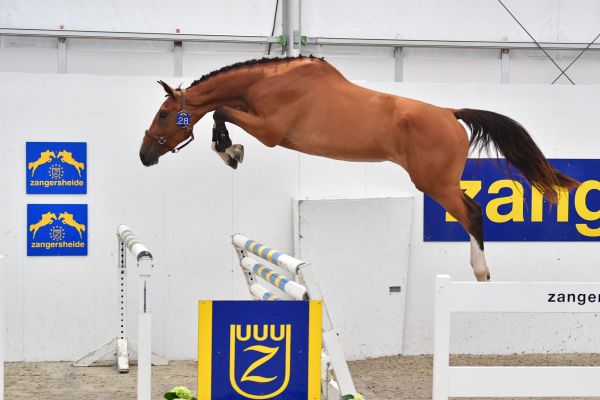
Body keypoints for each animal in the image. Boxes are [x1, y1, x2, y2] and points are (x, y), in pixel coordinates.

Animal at [138, 55, 580, 282]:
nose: (144, 155)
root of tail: (449, 113)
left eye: (164, 114)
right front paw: (230, 150)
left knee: (472, 213)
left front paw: (230, 151)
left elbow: (220, 110)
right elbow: (221, 110)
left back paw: (481, 271)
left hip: (435, 182)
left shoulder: (271, 131)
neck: (269, 82)